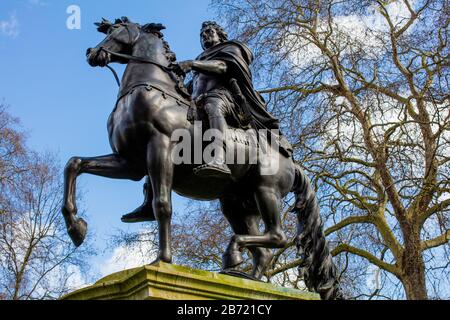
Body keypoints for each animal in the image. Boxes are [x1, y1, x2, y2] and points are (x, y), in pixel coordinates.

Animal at [63, 16, 342, 298]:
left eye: (116, 30)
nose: (92, 53)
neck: (153, 91)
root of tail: (292, 163)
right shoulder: (130, 163)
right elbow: (75, 164)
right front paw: (76, 228)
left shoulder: (159, 147)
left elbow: (163, 204)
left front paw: (162, 260)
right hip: (237, 203)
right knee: (262, 252)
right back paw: (246, 278)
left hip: (266, 190)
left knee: (277, 236)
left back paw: (232, 255)